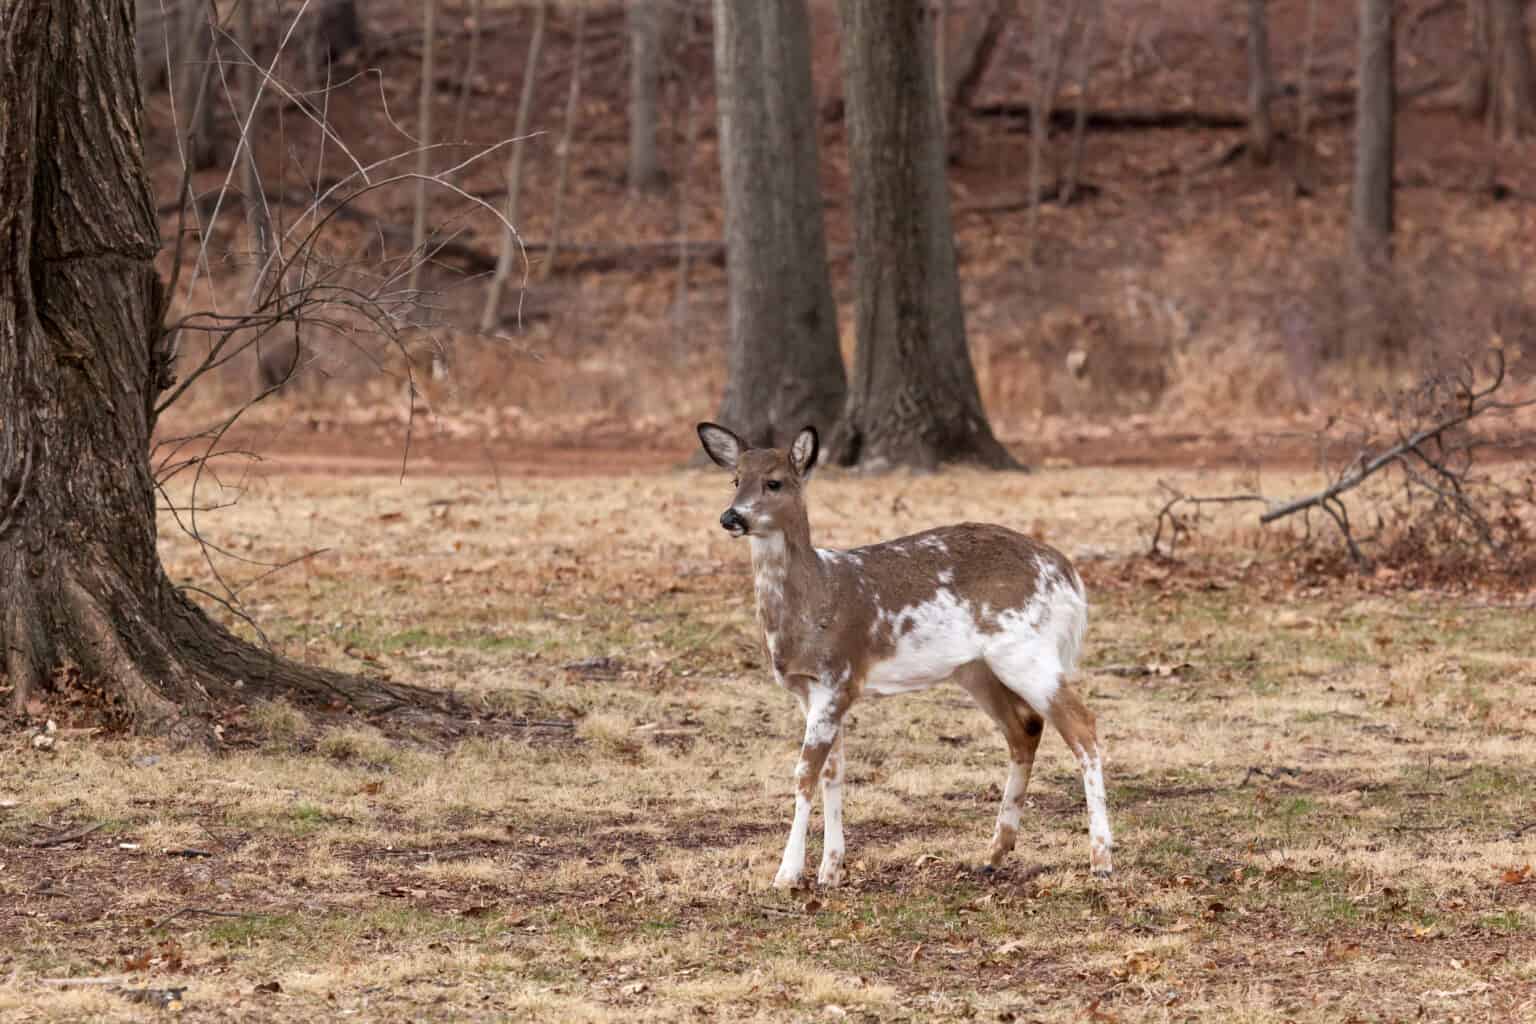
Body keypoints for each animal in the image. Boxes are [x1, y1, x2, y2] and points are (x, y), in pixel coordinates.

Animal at [697, 422, 1113, 890]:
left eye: (774, 482)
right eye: (734, 480)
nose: (731, 517)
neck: (815, 599)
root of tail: (1070, 575)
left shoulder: (838, 675)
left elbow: (805, 773)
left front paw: (787, 874)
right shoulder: (811, 690)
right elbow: (833, 771)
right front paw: (830, 870)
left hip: (1026, 650)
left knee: (1081, 725)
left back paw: (1100, 859)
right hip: (977, 669)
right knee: (1025, 728)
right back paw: (994, 853)